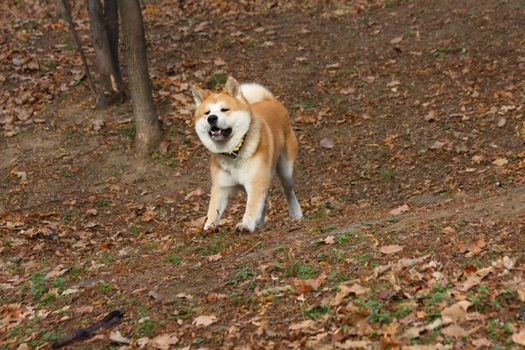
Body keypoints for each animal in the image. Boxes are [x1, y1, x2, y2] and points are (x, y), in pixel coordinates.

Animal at [190, 78, 300, 234]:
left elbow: (251, 207)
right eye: (207, 113)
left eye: (224, 110)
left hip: (286, 171)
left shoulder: (256, 182)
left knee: (288, 191)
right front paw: (208, 227)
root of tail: (269, 100)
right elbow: (213, 211)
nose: (211, 118)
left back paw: (296, 213)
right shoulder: (221, 188)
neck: (233, 153)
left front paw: (246, 224)